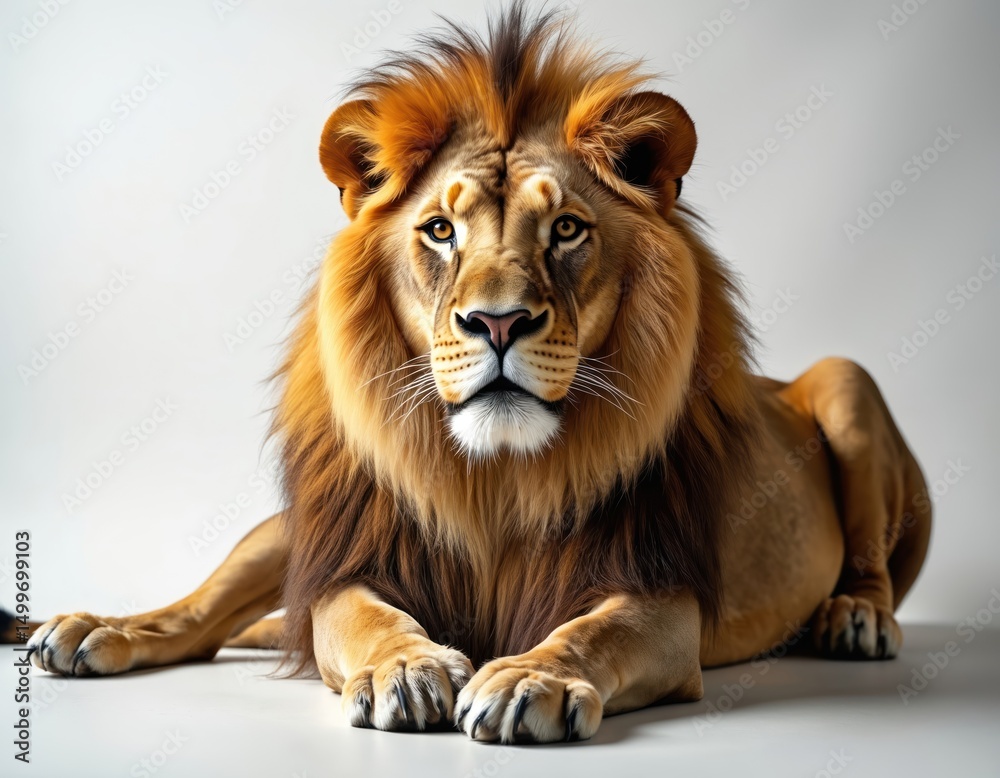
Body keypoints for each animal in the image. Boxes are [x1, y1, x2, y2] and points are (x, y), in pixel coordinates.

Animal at [16, 6, 931, 743]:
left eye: (567, 229)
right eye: (439, 230)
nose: (497, 323)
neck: (491, 480)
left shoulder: (662, 595)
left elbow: (591, 633)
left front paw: (530, 678)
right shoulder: (349, 559)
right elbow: (357, 619)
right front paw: (405, 667)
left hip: (848, 381)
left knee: (871, 562)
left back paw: (853, 618)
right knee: (209, 612)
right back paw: (95, 631)